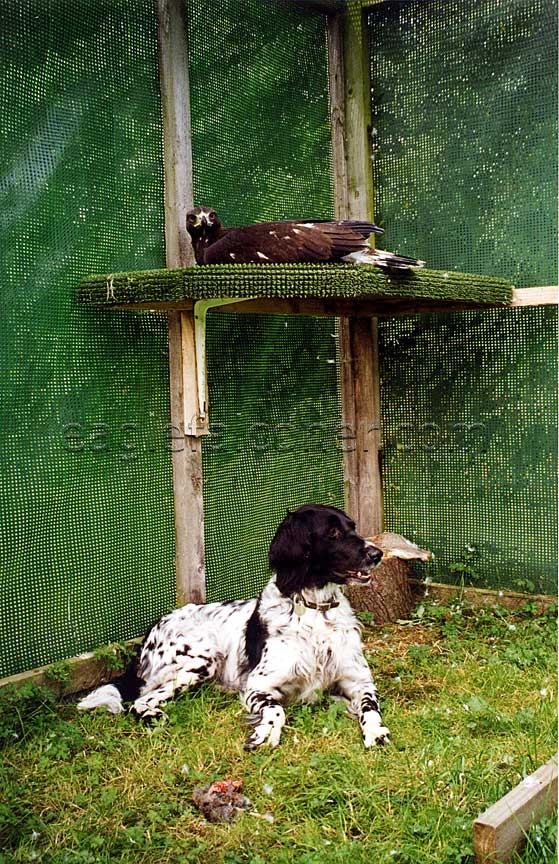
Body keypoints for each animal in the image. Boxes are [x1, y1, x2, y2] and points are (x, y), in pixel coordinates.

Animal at [79, 506, 392, 748]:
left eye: (352, 527)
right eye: (333, 533)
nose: (377, 553)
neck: (316, 611)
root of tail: (152, 630)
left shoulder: (359, 681)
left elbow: (371, 707)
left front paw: (375, 732)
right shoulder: (258, 686)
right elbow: (276, 711)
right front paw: (266, 733)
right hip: (201, 660)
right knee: (141, 701)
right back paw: (155, 716)